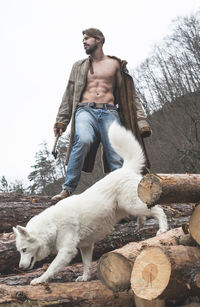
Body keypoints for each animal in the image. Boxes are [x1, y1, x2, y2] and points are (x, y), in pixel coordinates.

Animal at [13, 122, 168, 286]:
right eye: (19, 251)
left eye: (24, 250)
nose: (20, 267)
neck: (52, 226)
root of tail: (125, 169)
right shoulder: (86, 246)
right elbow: (86, 264)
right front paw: (85, 277)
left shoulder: (67, 251)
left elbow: (51, 268)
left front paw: (40, 280)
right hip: (130, 207)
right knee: (146, 212)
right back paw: (141, 223)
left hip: (132, 204)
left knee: (158, 209)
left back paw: (163, 229)